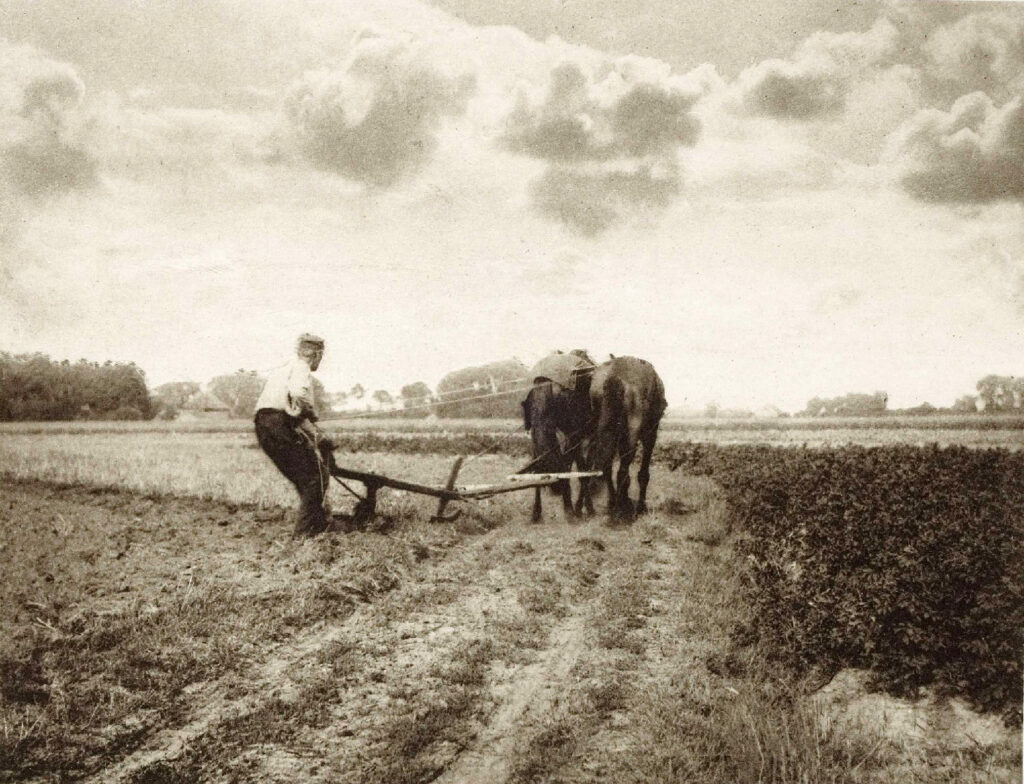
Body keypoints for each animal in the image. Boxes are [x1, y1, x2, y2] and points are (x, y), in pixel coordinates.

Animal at [589, 358, 667, 521]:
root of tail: (615, 375)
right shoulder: (650, 433)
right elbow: (643, 474)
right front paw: (641, 507)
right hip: (633, 431)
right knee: (623, 470)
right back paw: (622, 508)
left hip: (599, 426)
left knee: (607, 465)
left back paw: (614, 503)